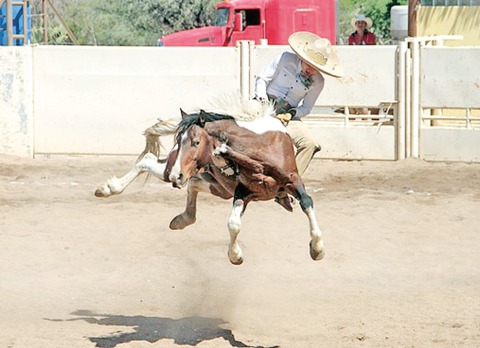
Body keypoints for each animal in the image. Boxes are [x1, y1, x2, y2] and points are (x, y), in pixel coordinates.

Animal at [95, 98, 324, 264]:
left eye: (196, 142)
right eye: (178, 142)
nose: (176, 176)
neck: (260, 150)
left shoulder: (293, 180)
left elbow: (307, 203)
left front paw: (317, 248)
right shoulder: (242, 191)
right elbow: (233, 223)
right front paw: (235, 255)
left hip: (213, 185)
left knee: (190, 182)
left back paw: (182, 218)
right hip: (184, 172)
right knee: (149, 161)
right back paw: (109, 189)